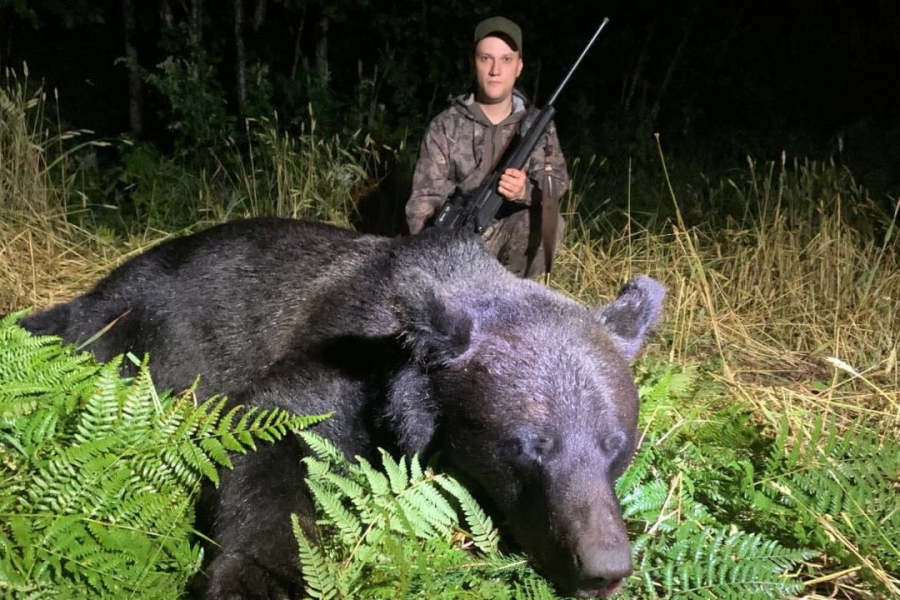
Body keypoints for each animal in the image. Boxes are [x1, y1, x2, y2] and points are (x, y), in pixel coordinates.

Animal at [18, 218, 666, 599]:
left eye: (617, 448)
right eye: (529, 447)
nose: (604, 566)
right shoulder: (339, 361)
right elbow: (272, 438)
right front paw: (253, 579)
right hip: (123, 325)